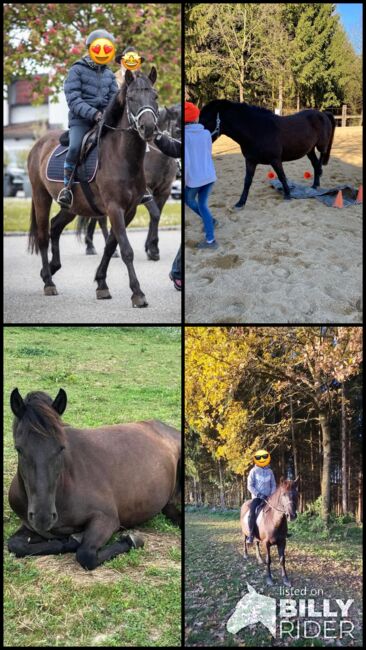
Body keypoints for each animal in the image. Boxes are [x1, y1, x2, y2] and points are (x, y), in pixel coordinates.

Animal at [7, 390, 181, 568]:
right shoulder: (30, 526)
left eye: (61, 447)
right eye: (19, 449)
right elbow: (15, 544)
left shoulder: (107, 519)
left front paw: (132, 540)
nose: (43, 517)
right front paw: (70, 540)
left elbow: (86, 554)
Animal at [27, 68, 159, 306]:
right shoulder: (115, 208)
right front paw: (137, 292)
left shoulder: (129, 211)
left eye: (155, 96)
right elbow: (126, 250)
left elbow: (111, 246)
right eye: (131, 98)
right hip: (41, 196)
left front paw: (101, 284)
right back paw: (49, 282)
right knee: (42, 236)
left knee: (55, 227)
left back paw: (50, 269)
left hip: (72, 207)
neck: (121, 156)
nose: (149, 128)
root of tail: (38, 144)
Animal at [199, 100, 336, 209]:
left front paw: (287, 195)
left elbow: (282, 176)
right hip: (310, 150)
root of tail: (323, 114)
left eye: (206, 119)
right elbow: (247, 181)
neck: (257, 130)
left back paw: (318, 178)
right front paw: (240, 203)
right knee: (315, 164)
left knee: (320, 160)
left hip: (320, 146)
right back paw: (314, 185)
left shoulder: (275, 160)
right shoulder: (250, 161)